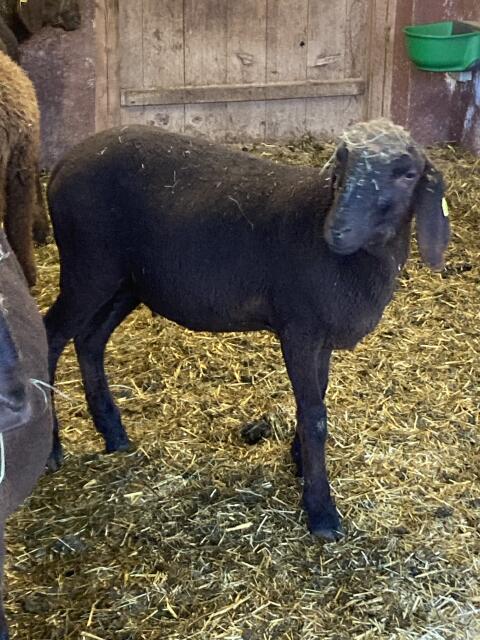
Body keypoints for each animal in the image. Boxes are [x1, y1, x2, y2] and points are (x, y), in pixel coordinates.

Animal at [44, 119, 450, 540]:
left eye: (407, 175)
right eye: (341, 162)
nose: (338, 230)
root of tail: (63, 163)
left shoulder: (320, 337)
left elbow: (316, 399)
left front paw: (300, 461)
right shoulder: (299, 328)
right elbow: (315, 416)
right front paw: (321, 511)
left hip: (128, 281)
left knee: (90, 340)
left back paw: (113, 432)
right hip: (89, 266)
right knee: (51, 336)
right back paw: (53, 448)